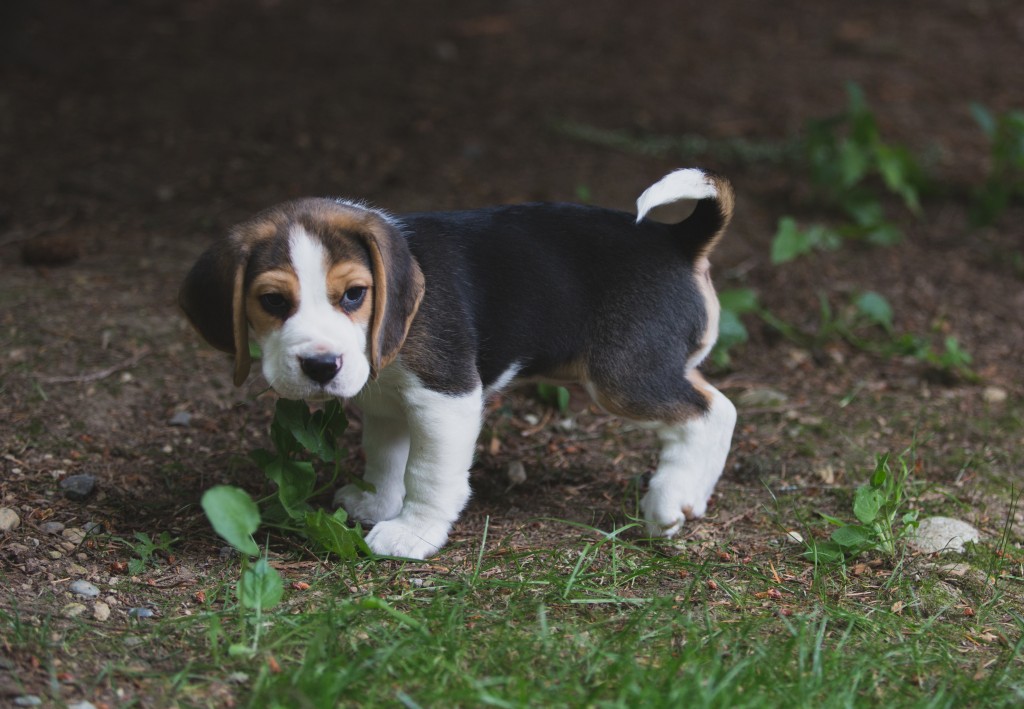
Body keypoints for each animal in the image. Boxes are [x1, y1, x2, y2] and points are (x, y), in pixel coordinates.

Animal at [182, 168, 737, 561]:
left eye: (355, 294)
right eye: (273, 302)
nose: (321, 366)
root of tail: (675, 241)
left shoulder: (444, 397)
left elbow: (427, 474)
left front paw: (412, 532)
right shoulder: (385, 403)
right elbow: (386, 459)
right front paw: (377, 504)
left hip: (623, 377)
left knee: (713, 411)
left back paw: (670, 502)